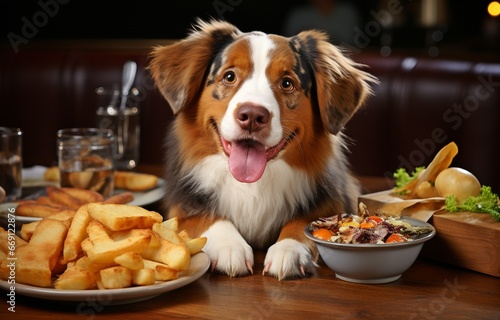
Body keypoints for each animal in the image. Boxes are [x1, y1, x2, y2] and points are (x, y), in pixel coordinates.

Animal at [150, 20, 376, 280]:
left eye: (287, 83)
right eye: (229, 76)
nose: (252, 116)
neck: (254, 184)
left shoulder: (334, 200)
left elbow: (304, 221)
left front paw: (289, 249)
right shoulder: (183, 206)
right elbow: (208, 217)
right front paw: (230, 246)